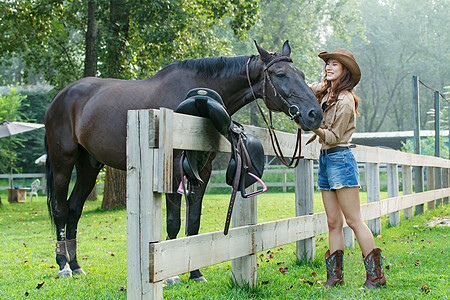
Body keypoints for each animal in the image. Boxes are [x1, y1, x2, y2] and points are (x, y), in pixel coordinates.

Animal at [44, 40, 322, 282]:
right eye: (280, 74)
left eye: (301, 74)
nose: (315, 114)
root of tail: (60, 97)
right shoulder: (174, 170)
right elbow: (174, 221)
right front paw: (172, 275)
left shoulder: (203, 170)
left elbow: (194, 221)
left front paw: (195, 273)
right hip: (62, 163)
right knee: (60, 209)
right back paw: (63, 266)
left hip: (89, 166)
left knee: (74, 209)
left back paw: (76, 266)